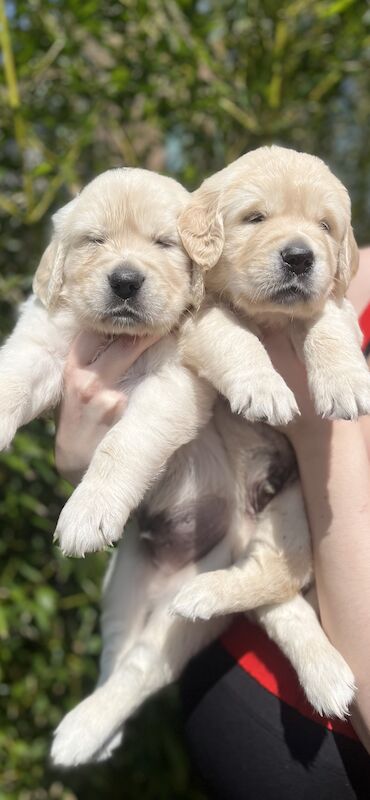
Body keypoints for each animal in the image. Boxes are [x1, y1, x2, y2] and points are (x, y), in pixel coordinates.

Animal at [177, 147, 370, 428]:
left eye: (325, 225)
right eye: (255, 218)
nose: (299, 258)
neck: (271, 315)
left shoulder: (336, 300)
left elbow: (329, 327)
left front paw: (347, 384)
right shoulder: (198, 311)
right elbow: (233, 336)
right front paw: (264, 389)